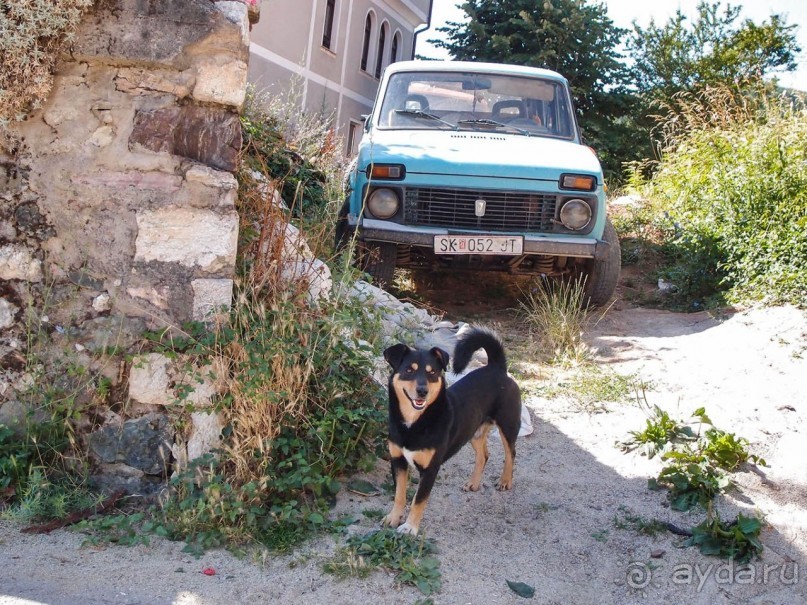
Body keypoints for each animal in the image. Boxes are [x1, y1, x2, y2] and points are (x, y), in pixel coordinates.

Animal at [380, 326, 520, 532]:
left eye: (432, 373)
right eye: (409, 370)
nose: (422, 391)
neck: (415, 422)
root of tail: (497, 367)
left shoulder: (430, 469)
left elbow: (418, 501)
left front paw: (410, 528)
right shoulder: (398, 461)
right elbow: (399, 495)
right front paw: (393, 517)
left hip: (508, 425)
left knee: (511, 453)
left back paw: (505, 481)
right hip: (473, 430)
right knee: (484, 455)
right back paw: (474, 483)